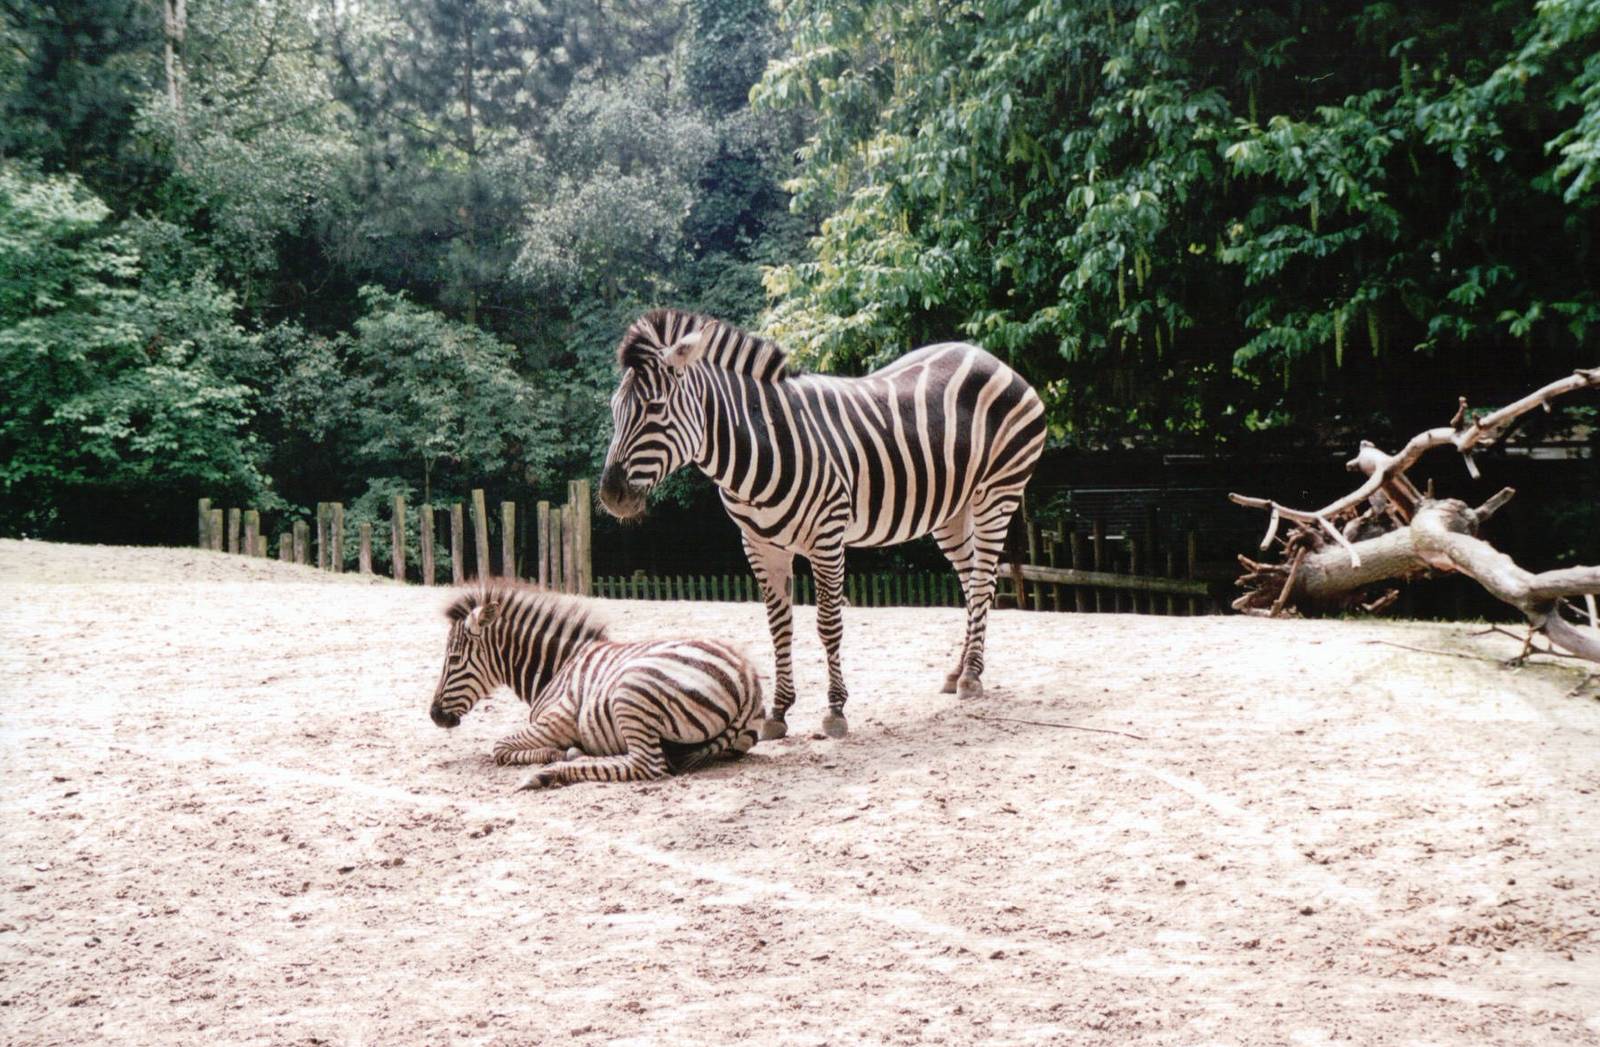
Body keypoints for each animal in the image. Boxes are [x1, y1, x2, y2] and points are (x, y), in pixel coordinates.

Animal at [428, 581, 765, 788]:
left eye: (454, 659)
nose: (434, 715)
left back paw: (549, 773)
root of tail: (748, 680)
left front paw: (552, 754)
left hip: (631, 690)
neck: (557, 667)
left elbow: (499, 747)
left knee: (647, 765)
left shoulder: (555, 722)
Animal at [598, 309, 1046, 739]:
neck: (759, 446)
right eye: (614, 410)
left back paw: (971, 676)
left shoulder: (827, 537)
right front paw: (778, 712)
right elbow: (779, 627)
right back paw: (960, 671)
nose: (610, 495)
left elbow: (828, 625)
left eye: (655, 408)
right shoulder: (759, 544)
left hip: (997, 492)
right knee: (971, 582)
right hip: (951, 510)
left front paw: (834, 711)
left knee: (984, 581)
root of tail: (991, 358)